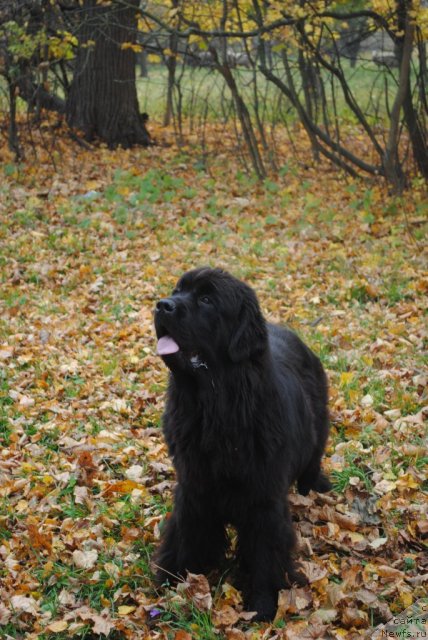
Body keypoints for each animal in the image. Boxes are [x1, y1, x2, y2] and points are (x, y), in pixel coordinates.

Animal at [154, 268, 332, 624]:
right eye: (177, 291)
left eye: (206, 299)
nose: (162, 304)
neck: (216, 409)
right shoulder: (194, 487)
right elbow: (186, 534)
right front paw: (171, 580)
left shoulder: (264, 500)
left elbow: (265, 551)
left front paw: (263, 604)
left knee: (312, 463)